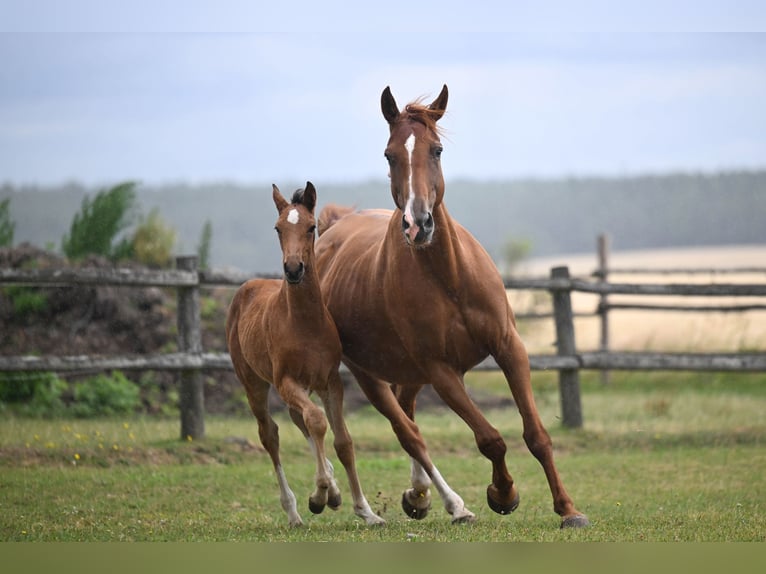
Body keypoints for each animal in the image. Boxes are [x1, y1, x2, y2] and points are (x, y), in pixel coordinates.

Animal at [225, 182, 384, 528]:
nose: (293, 269)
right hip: (253, 383)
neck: (304, 323)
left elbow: (343, 440)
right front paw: (319, 495)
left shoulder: (329, 382)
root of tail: (247, 287)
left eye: (311, 227)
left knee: (298, 420)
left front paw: (365, 510)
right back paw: (294, 511)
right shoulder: (287, 381)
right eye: (278, 228)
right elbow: (317, 421)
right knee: (270, 434)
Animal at [315, 86, 589, 529]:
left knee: (409, 411)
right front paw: (503, 494)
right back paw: (441, 500)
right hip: (369, 374)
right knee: (407, 430)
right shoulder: (441, 371)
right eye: (389, 155)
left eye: (437, 150)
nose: (418, 224)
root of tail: (331, 230)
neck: (450, 278)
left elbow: (537, 435)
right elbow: (490, 439)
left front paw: (568, 509)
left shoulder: (509, 347)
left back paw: (419, 494)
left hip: (408, 373)